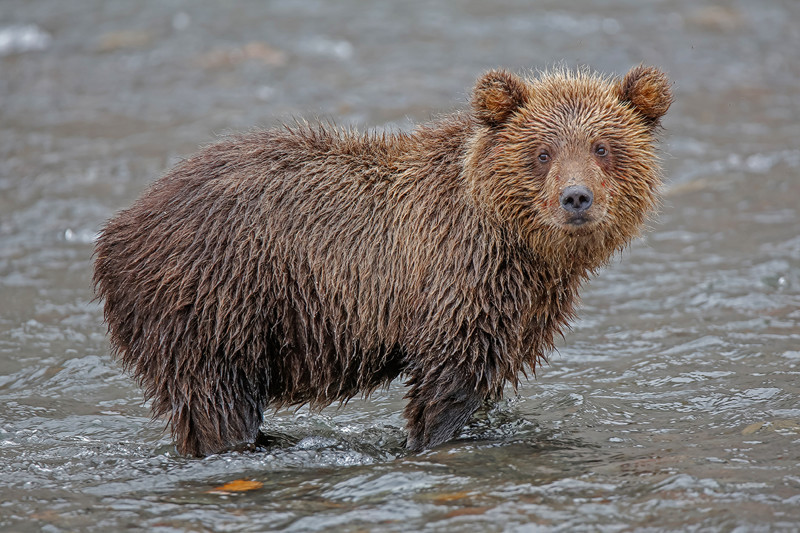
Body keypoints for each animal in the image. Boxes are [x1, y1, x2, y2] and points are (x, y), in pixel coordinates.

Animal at [92, 64, 668, 456]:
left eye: (603, 147)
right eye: (542, 153)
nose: (576, 198)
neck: (516, 242)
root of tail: (117, 229)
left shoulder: (524, 303)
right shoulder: (457, 278)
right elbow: (450, 379)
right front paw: (433, 436)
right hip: (213, 301)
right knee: (216, 399)